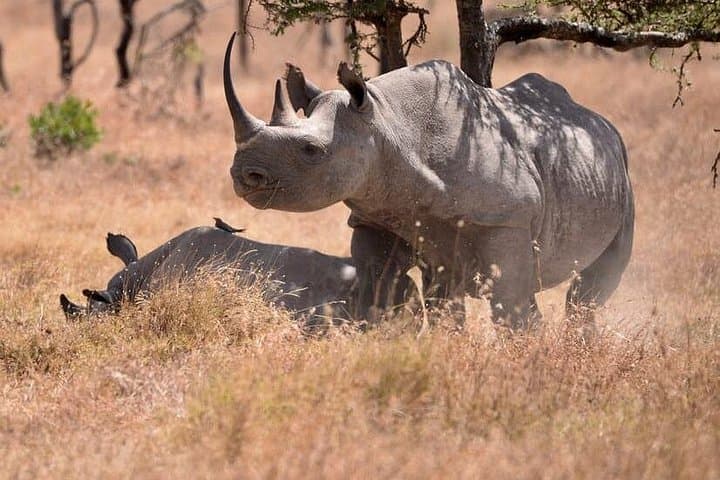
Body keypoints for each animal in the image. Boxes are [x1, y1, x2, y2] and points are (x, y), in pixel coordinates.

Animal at [222, 34, 634, 328]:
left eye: (310, 150)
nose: (243, 174)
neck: (388, 126)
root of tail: (604, 126)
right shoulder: (378, 212)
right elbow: (382, 291)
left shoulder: (507, 220)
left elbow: (511, 308)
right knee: (446, 291)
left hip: (622, 179)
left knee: (587, 292)